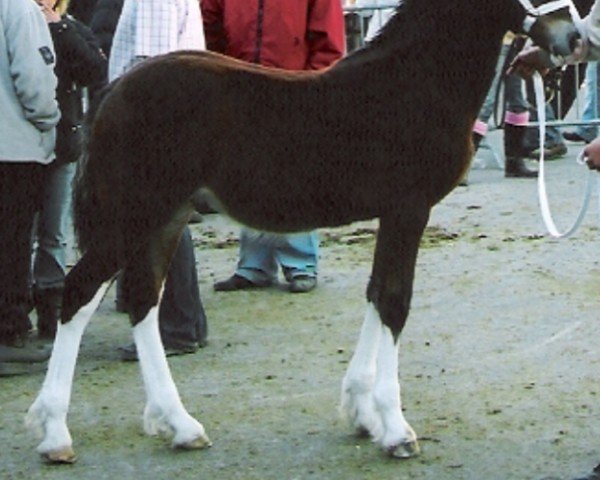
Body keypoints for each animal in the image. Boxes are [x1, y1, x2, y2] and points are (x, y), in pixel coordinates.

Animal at [27, 0, 580, 464]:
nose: (573, 37)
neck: (415, 80)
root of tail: (114, 90)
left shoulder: (393, 214)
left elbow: (377, 294)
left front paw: (362, 414)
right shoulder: (408, 209)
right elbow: (395, 302)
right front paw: (396, 430)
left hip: (166, 217)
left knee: (143, 299)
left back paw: (181, 426)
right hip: (132, 215)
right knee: (79, 292)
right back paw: (55, 434)